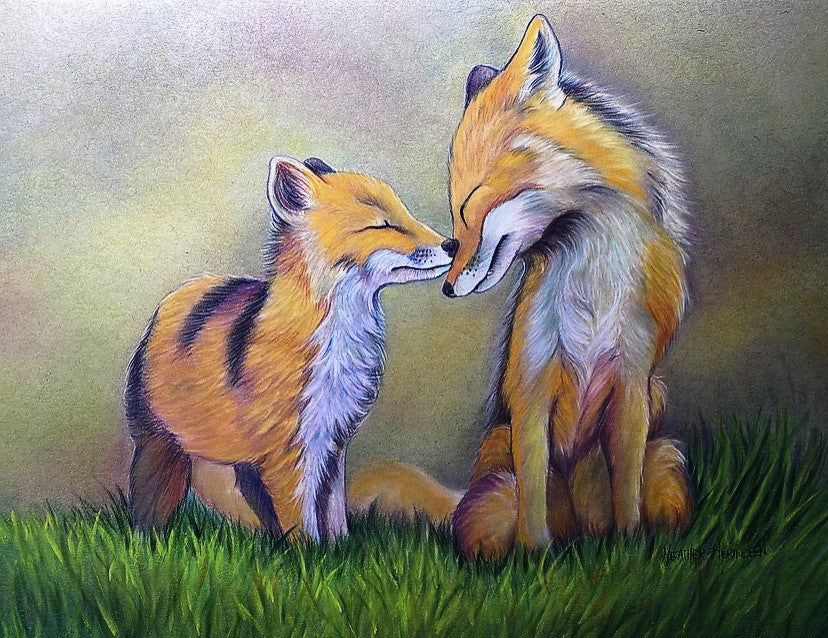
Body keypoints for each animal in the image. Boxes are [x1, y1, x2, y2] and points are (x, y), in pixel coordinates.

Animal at [125, 154, 457, 542]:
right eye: (382, 225)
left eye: (404, 213)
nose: (452, 244)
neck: (337, 349)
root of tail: (180, 293)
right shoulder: (290, 450)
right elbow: (303, 521)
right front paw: (309, 553)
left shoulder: (332, 441)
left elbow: (334, 514)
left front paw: (340, 549)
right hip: (162, 448)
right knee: (149, 509)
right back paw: (147, 540)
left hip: (241, 464)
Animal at [349, 15, 693, 558]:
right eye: (455, 220)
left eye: (469, 206)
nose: (447, 289)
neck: (589, 292)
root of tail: (581, 527)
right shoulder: (531, 384)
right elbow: (533, 494)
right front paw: (536, 557)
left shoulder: (633, 384)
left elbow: (627, 489)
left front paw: (630, 546)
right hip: (493, 497)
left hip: (668, 465)